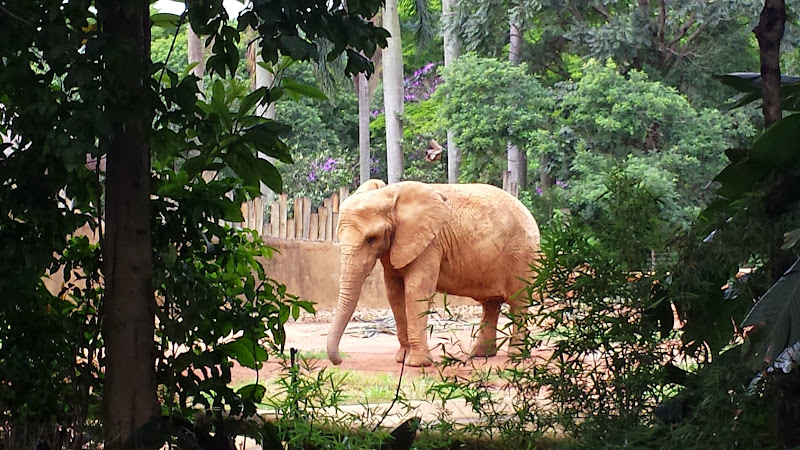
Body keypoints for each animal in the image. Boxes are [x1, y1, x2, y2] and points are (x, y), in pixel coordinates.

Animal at [326, 178, 544, 366]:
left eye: (371, 239)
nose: (340, 361)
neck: (389, 194)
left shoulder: (430, 243)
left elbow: (415, 291)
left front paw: (416, 364)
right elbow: (394, 294)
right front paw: (402, 359)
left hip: (522, 255)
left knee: (518, 302)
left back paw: (516, 356)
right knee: (490, 304)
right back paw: (480, 355)